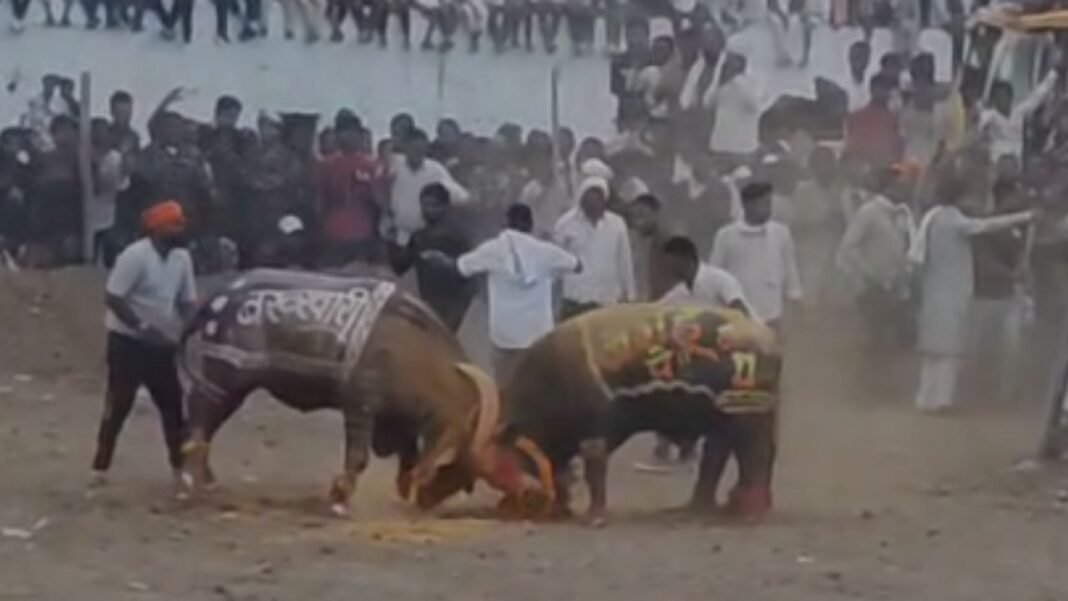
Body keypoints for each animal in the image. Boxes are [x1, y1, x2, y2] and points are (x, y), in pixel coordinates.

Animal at [177, 269, 554, 516]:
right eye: (484, 464)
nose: (530, 490)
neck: (414, 351)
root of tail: (216, 300)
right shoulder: (361, 407)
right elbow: (358, 458)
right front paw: (340, 497)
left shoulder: (401, 421)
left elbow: (407, 460)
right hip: (224, 381)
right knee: (198, 423)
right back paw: (190, 482)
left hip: (230, 389)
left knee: (205, 429)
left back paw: (206, 479)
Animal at [491, 303, 782, 525]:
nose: (507, 505)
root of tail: (769, 341)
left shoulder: (594, 434)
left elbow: (593, 472)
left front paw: (595, 517)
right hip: (731, 421)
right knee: (722, 458)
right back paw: (705, 509)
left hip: (746, 417)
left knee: (755, 456)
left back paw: (746, 511)